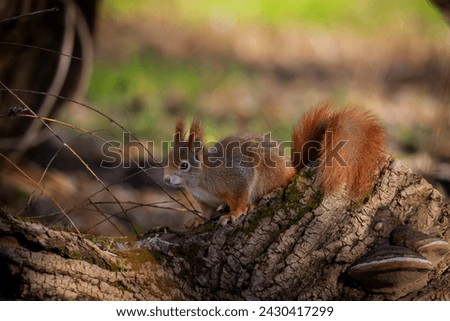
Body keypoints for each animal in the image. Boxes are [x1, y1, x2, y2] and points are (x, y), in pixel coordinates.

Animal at [163, 102, 384, 225]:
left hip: (268, 178)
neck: (201, 179)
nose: (165, 179)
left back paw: (251, 205)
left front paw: (233, 214)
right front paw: (197, 220)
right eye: (167, 159)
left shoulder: (237, 179)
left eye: (184, 165)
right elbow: (207, 212)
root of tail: (293, 169)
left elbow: (239, 198)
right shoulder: (205, 200)